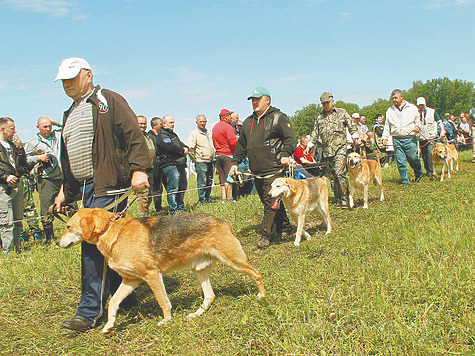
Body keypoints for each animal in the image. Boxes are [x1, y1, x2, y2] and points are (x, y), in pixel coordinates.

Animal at [57, 209, 266, 334]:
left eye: (68, 226)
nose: (57, 243)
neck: (109, 230)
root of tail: (222, 221)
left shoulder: (151, 275)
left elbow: (163, 302)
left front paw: (167, 321)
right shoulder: (130, 280)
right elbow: (113, 303)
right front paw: (109, 325)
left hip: (234, 261)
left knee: (257, 274)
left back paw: (262, 296)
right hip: (199, 269)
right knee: (210, 296)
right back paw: (196, 314)